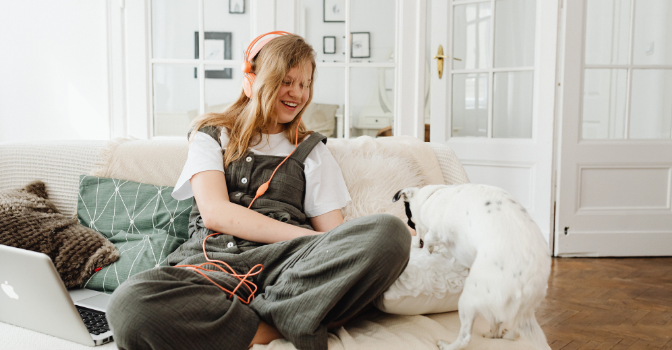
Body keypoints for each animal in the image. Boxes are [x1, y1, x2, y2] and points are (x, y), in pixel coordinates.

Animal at [394, 185, 552, 348]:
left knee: (465, 338)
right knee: (505, 328)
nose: (417, 242)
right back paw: (501, 334)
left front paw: (426, 250)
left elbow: (429, 240)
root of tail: (526, 286)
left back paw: (446, 345)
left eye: (410, 222)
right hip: (518, 312)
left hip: (468, 299)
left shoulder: (436, 233)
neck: (431, 197)